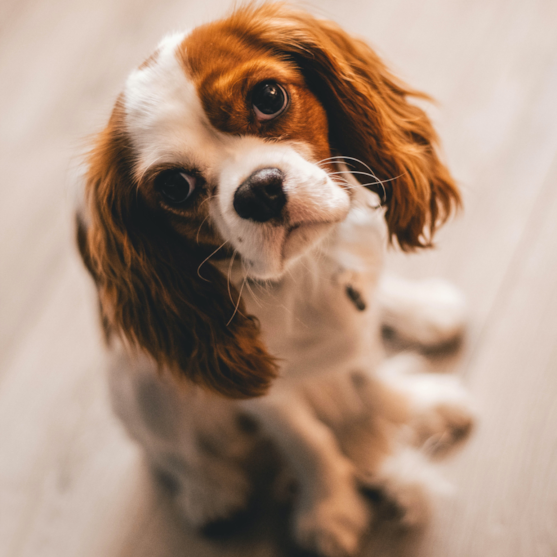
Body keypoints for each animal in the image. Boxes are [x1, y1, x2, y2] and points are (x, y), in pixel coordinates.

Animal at [75, 5, 474, 556]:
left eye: (268, 97)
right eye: (175, 186)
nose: (258, 191)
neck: (305, 274)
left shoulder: (358, 328)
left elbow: (370, 378)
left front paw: (408, 408)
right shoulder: (266, 395)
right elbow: (309, 441)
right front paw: (329, 508)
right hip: (139, 383)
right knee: (169, 449)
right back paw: (211, 490)